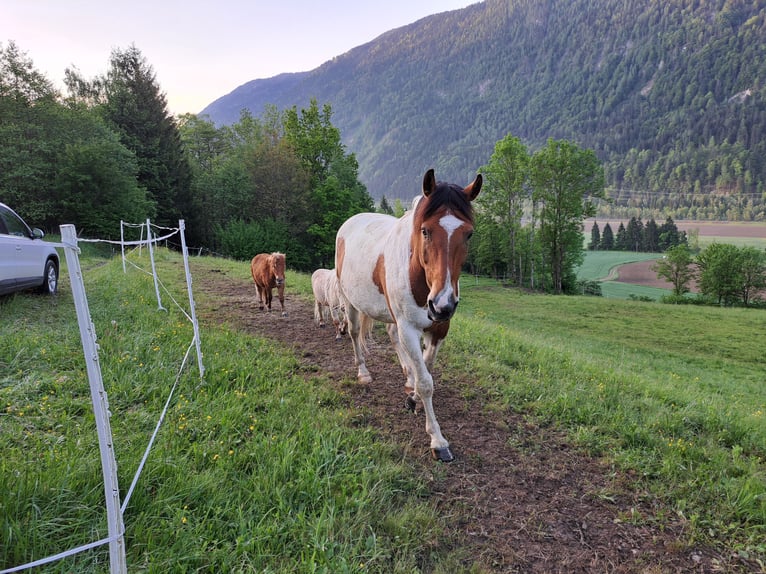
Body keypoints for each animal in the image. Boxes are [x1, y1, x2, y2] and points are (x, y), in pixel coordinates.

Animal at [334, 170, 480, 464]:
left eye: (468, 234)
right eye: (425, 230)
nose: (443, 304)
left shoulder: (440, 328)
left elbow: (426, 366)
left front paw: (412, 394)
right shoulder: (410, 328)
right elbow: (426, 382)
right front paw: (437, 440)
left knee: (392, 336)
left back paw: (406, 374)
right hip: (349, 300)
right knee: (355, 333)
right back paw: (363, 372)